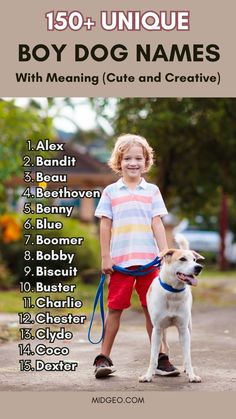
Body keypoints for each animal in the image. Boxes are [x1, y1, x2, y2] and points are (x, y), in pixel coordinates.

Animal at [139, 235, 204, 386]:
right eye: (182, 259)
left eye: (194, 260)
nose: (199, 267)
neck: (173, 292)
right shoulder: (156, 329)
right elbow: (153, 357)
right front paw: (148, 375)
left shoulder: (183, 330)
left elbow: (187, 356)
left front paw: (192, 375)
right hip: (161, 330)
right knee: (165, 346)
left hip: (189, 327)